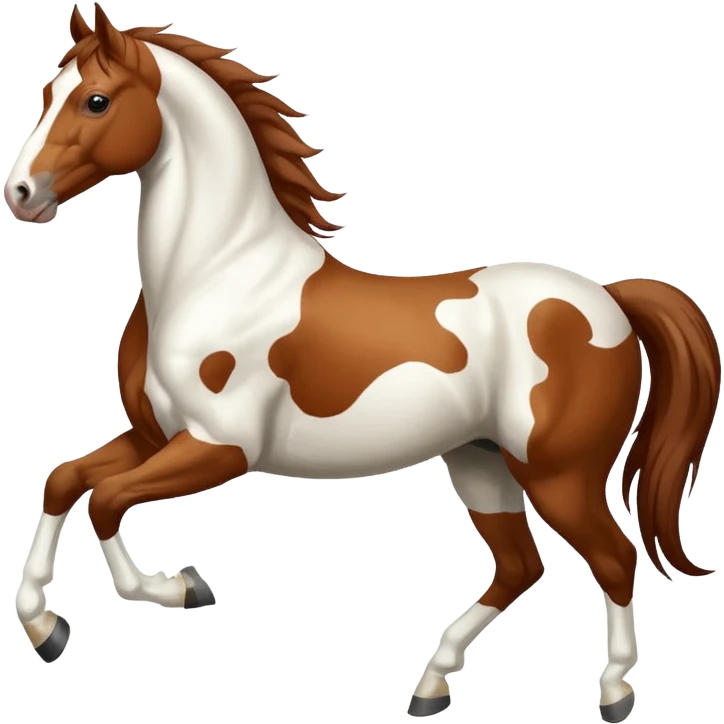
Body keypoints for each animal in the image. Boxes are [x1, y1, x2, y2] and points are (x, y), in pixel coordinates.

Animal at [6, 5, 719, 721]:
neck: (214, 274)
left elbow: (105, 501)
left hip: (558, 474)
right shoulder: (156, 437)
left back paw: (615, 690)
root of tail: (610, 298)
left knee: (614, 558)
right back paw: (432, 684)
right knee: (521, 566)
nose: (20, 194)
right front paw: (44, 629)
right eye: (45, 94)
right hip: (480, 461)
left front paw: (181, 588)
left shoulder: (219, 449)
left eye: (96, 101)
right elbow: (65, 481)